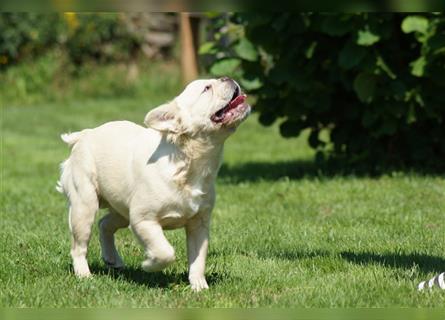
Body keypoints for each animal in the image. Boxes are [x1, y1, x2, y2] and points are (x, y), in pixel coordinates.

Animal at [56, 77, 250, 290]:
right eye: (207, 88)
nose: (227, 78)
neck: (190, 163)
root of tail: (84, 135)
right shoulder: (143, 220)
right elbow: (165, 251)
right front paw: (149, 264)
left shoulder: (198, 224)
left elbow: (198, 257)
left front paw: (199, 285)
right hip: (85, 204)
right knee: (79, 245)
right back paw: (84, 274)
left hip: (123, 210)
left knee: (105, 224)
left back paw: (112, 258)